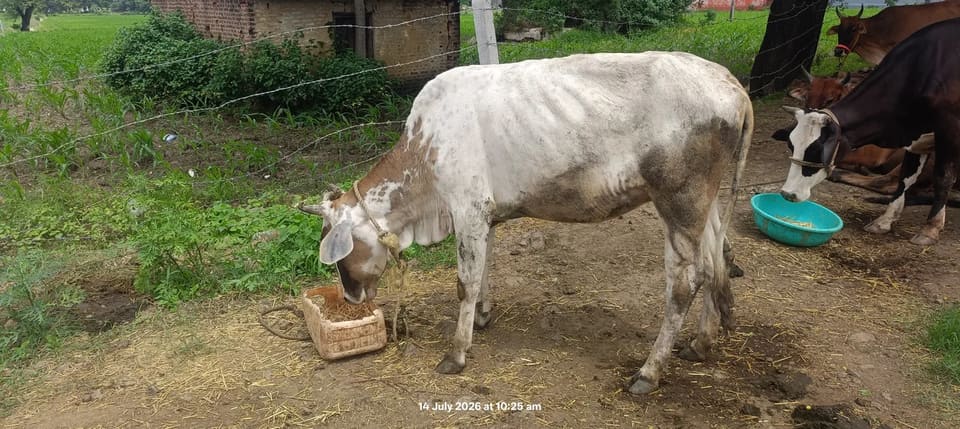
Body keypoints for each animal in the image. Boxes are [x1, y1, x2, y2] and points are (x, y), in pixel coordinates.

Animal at [297, 52, 753, 394]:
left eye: (339, 253)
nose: (351, 297)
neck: (423, 155)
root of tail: (732, 86)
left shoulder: (468, 208)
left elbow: (464, 282)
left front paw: (456, 353)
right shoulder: (485, 217)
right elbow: (483, 272)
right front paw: (482, 317)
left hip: (679, 199)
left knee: (685, 283)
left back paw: (648, 372)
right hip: (705, 205)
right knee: (716, 263)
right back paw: (700, 343)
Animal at [777, 18, 960, 246]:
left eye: (817, 150)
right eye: (791, 145)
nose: (788, 194)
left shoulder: (949, 131)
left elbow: (943, 178)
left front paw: (930, 228)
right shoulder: (915, 138)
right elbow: (905, 178)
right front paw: (884, 221)